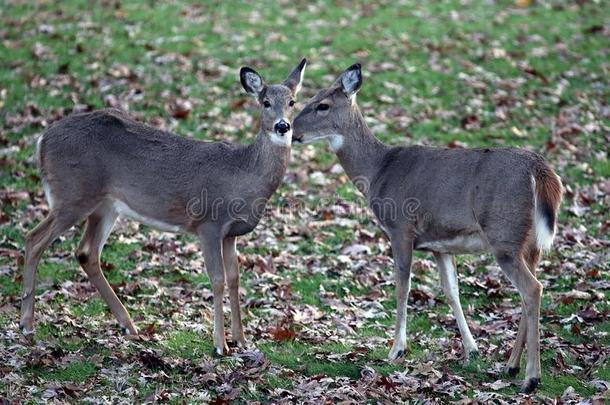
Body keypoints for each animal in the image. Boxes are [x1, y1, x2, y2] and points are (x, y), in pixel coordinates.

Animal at [20, 58, 306, 356]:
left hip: (105, 206)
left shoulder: (231, 233)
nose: (283, 126)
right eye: (265, 102)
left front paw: (242, 340)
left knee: (86, 252)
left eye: (292, 101)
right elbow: (217, 279)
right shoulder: (209, 223)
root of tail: (42, 140)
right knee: (34, 239)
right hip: (72, 194)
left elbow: (235, 278)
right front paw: (220, 344)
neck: (244, 174)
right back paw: (26, 323)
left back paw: (129, 326)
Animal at [290, 63, 560, 392]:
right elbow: (452, 291)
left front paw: (396, 349)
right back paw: (511, 366)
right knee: (528, 290)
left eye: (323, 105)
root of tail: (541, 170)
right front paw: (472, 350)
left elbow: (402, 287)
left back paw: (531, 377)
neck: (377, 171)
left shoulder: (400, 228)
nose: (291, 131)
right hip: (530, 243)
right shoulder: (439, 244)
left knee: (533, 288)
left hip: (504, 235)